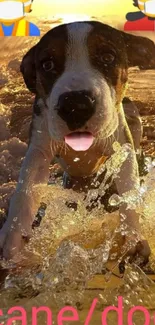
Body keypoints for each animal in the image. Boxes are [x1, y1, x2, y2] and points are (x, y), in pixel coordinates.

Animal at [0, 20, 154, 260]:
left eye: (108, 57)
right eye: (47, 64)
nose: (76, 105)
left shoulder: (122, 147)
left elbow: (128, 189)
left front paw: (133, 236)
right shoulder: (39, 147)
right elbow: (25, 188)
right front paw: (12, 235)